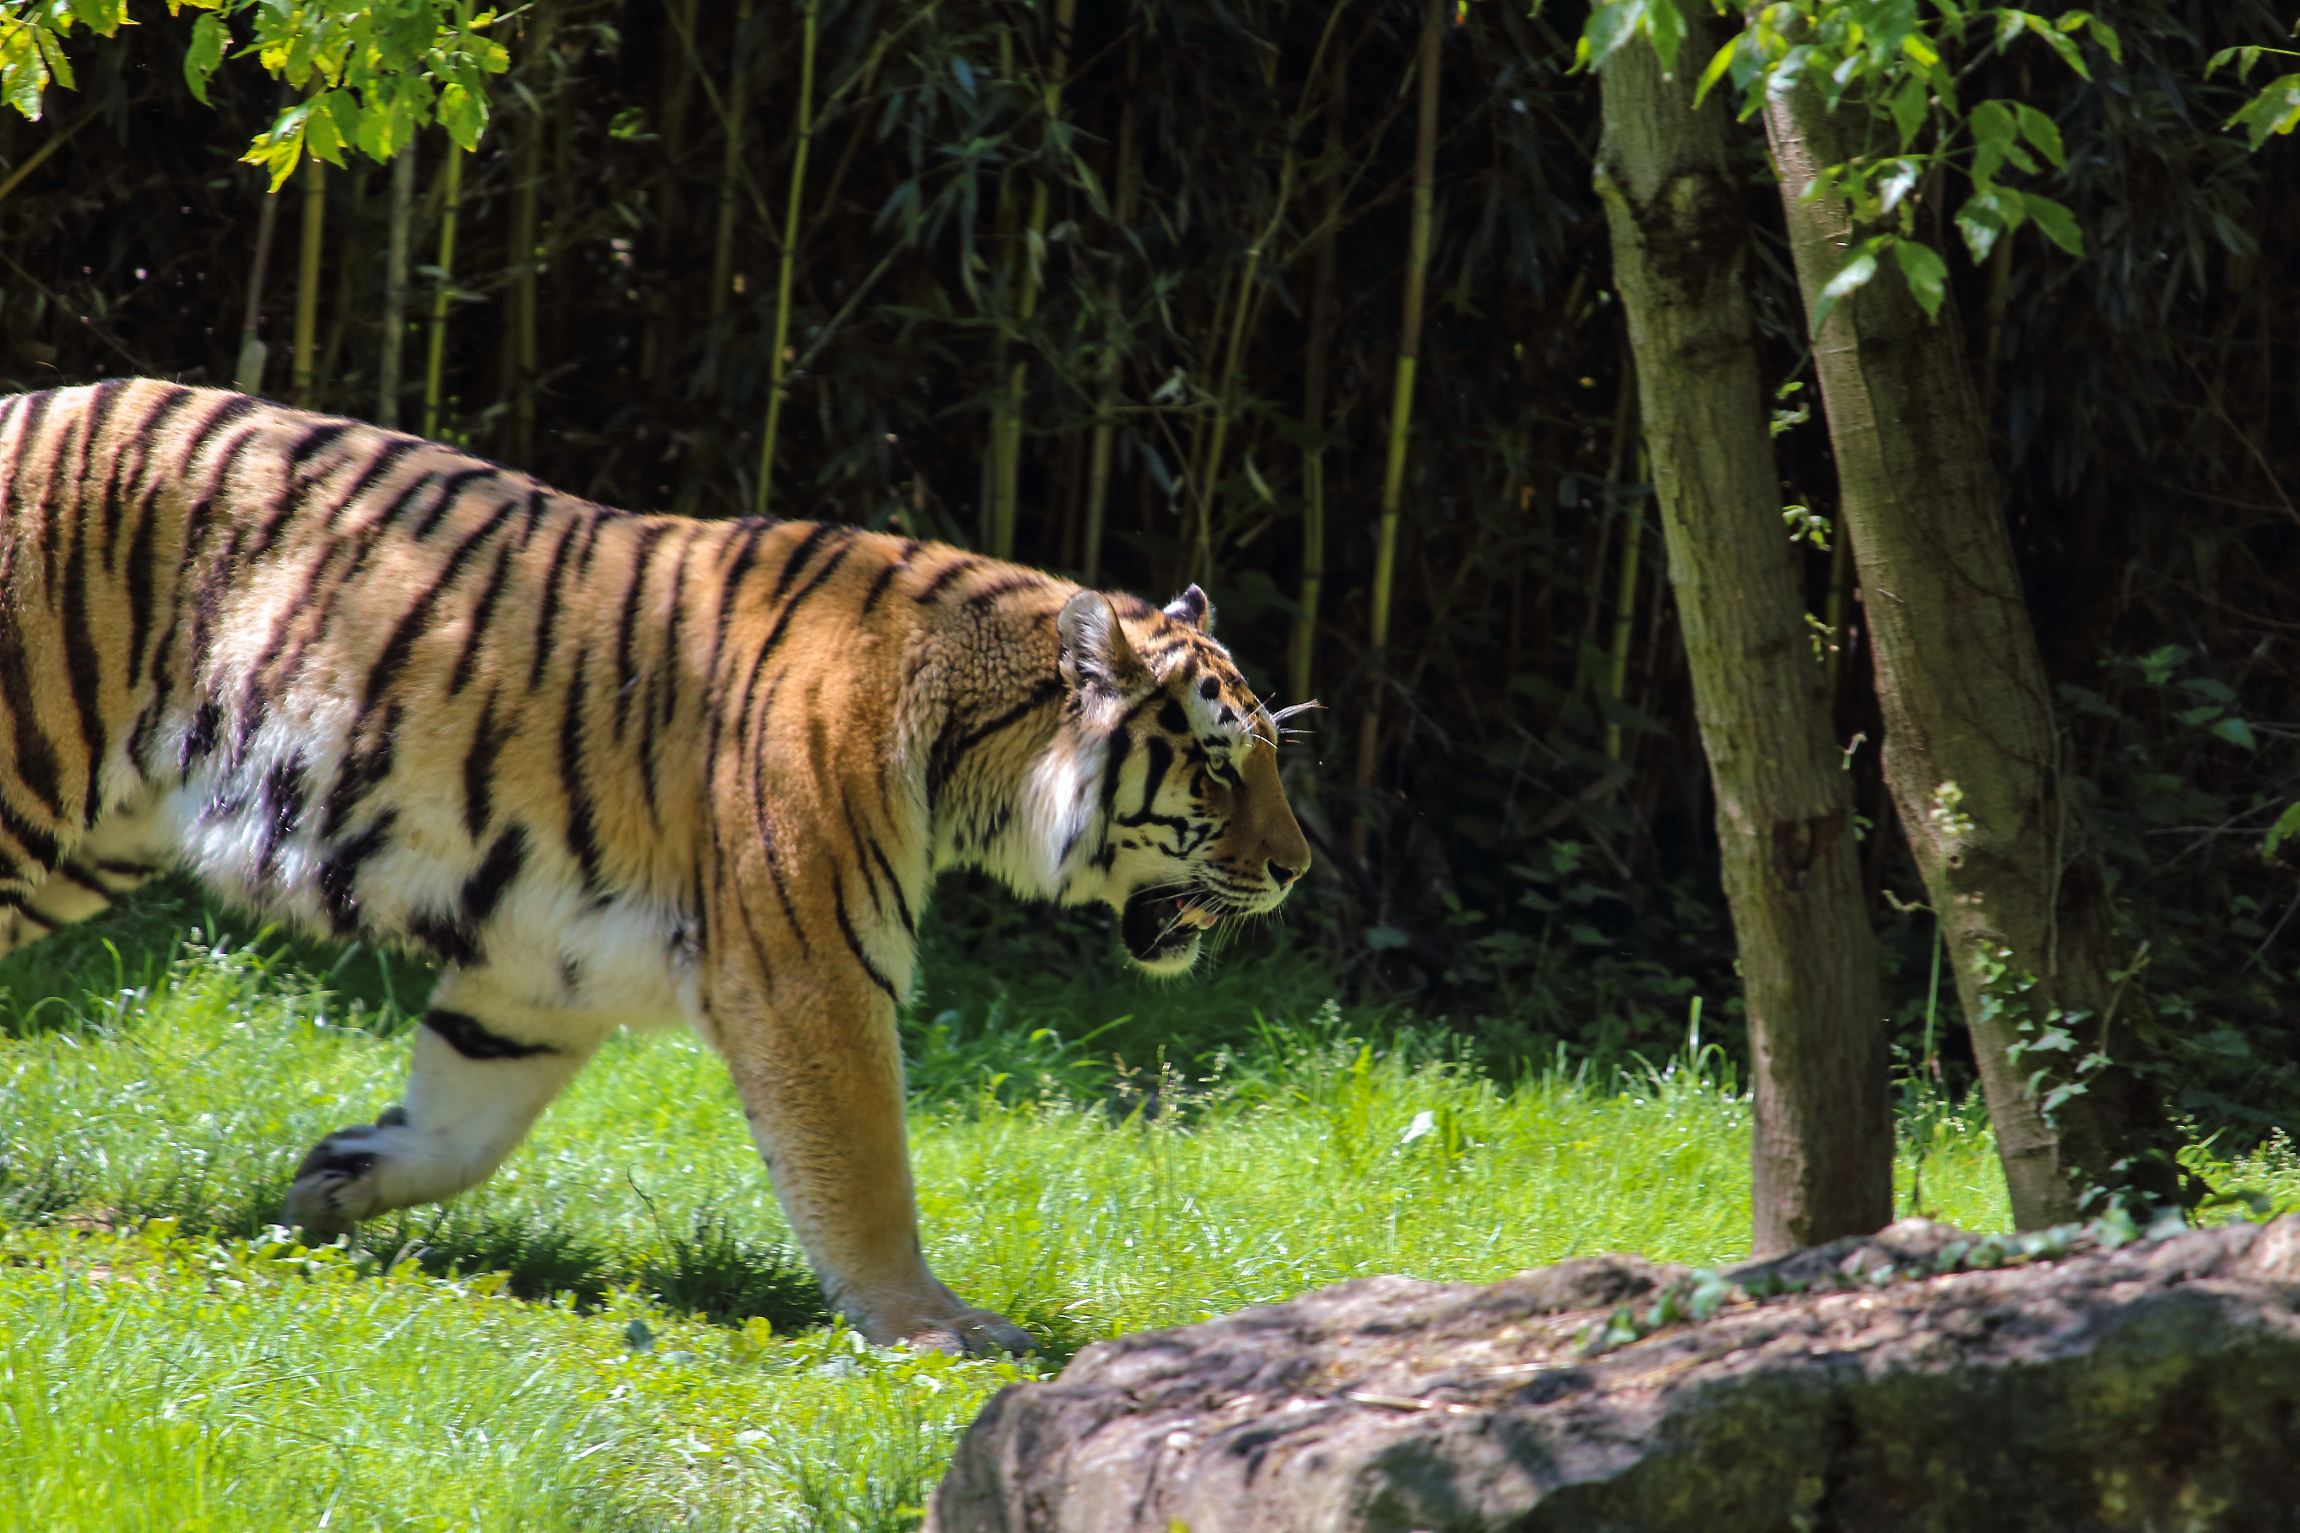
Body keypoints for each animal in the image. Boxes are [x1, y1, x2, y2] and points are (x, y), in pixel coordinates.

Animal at [0, 378, 1311, 1354]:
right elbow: (865, 1169)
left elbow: (465, 1118)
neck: (972, 751)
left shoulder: (539, 961)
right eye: (1218, 769)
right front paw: (934, 1328)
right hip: (32, 791)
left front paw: (339, 1178)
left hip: (91, 844)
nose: (1296, 870)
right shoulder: (811, 972)